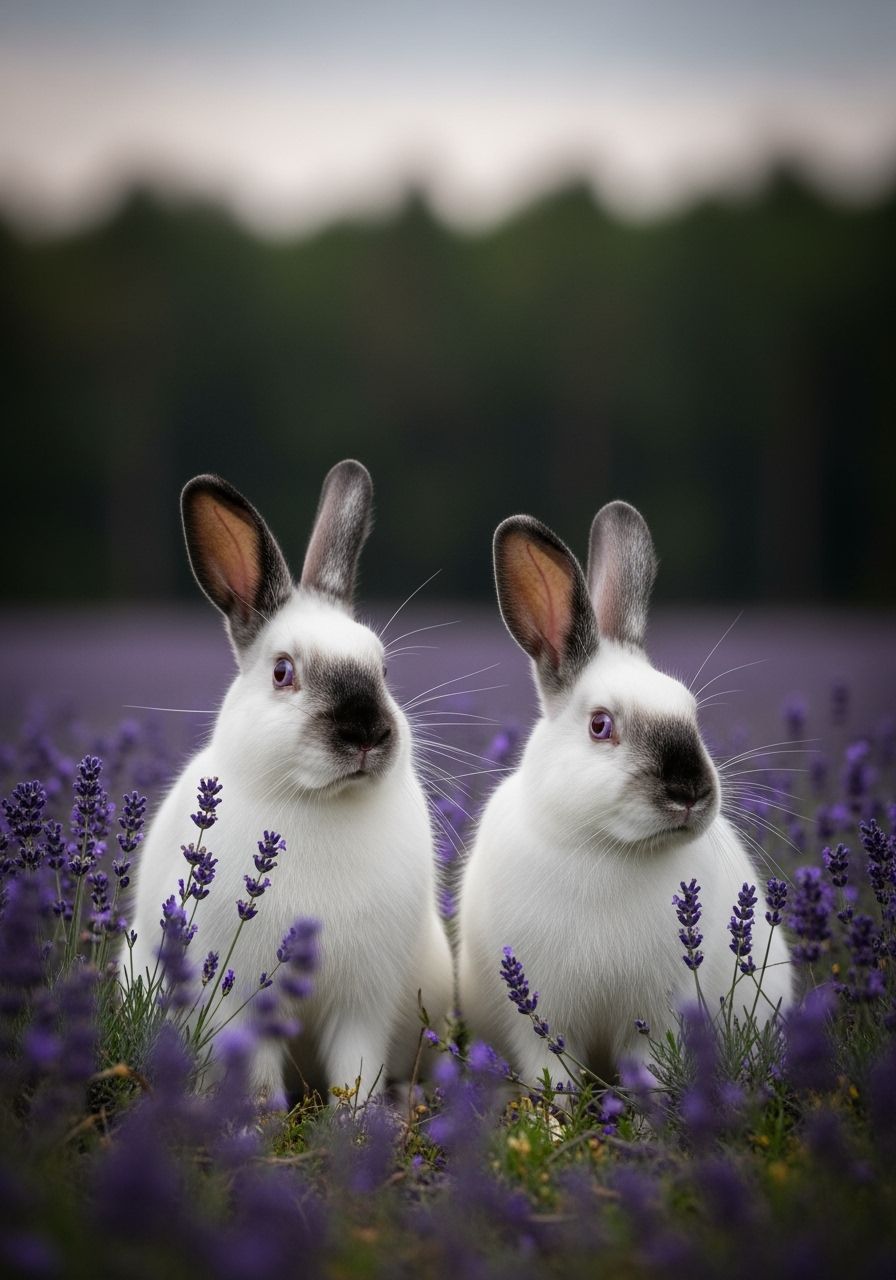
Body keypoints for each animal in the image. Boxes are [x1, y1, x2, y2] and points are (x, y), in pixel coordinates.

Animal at [129, 460, 452, 1103]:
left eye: (383, 669)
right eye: (283, 672)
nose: (365, 733)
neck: (321, 802)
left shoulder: (362, 1004)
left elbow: (356, 1069)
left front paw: (358, 1119)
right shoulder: (241, 1000)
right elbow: (255, 1072)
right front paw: (259, 1117)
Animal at [458, 501, 793, 1086]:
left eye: (691, 711)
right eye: (600, 725)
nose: (689, 791)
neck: (607, 849)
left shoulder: (655, 1019)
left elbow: (650, 1071)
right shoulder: (543, 1021)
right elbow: (555, 1076)